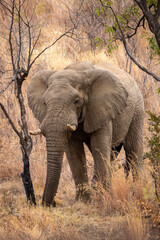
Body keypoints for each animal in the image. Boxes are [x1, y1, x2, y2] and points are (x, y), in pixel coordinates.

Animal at [27, 62, 145, 206]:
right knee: (110, 154)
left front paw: (105, 200)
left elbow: (99, 148)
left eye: (76, 101)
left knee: (133, 150)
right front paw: (83, 202)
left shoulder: (101, 109)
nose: (50, 204)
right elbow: (74, 153)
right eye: (44, 102)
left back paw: (138, 192)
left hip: (137, 109)